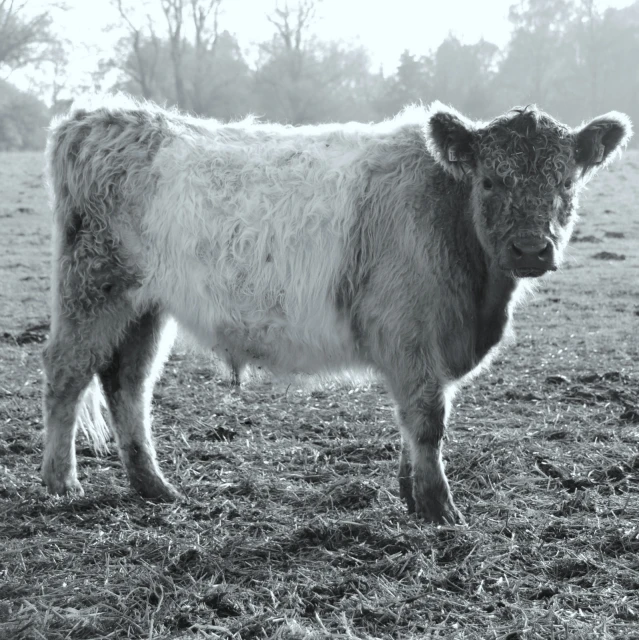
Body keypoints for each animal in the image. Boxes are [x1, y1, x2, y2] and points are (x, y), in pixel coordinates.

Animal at [42, 96, 632, 524]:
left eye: (566, 182)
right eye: (489, 180)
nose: (531, 250)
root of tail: (98, 117)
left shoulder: (426, 350)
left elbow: (413, 421)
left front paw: (411, 496)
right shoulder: (409, 335)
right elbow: (427, 420)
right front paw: (440, 511)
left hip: (146, 305)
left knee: (128, 383)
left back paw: (155, 487)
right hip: (93, 290)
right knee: (66, 373)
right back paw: (61, 483)